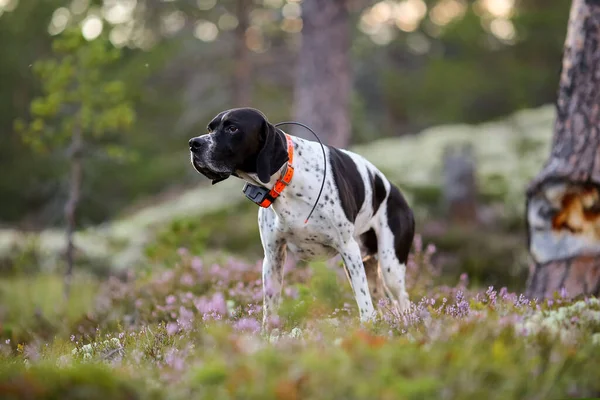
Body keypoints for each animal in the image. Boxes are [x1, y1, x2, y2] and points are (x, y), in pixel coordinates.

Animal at [190, 108, 414, 330]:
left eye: (232, 128)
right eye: (210, 128)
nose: (193, 143)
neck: (286, 179)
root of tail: (397, 192)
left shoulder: (348, 249)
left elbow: (364, 304)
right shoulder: (273, 257)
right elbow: (270, 309)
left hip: (389, 267)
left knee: (402, 300)